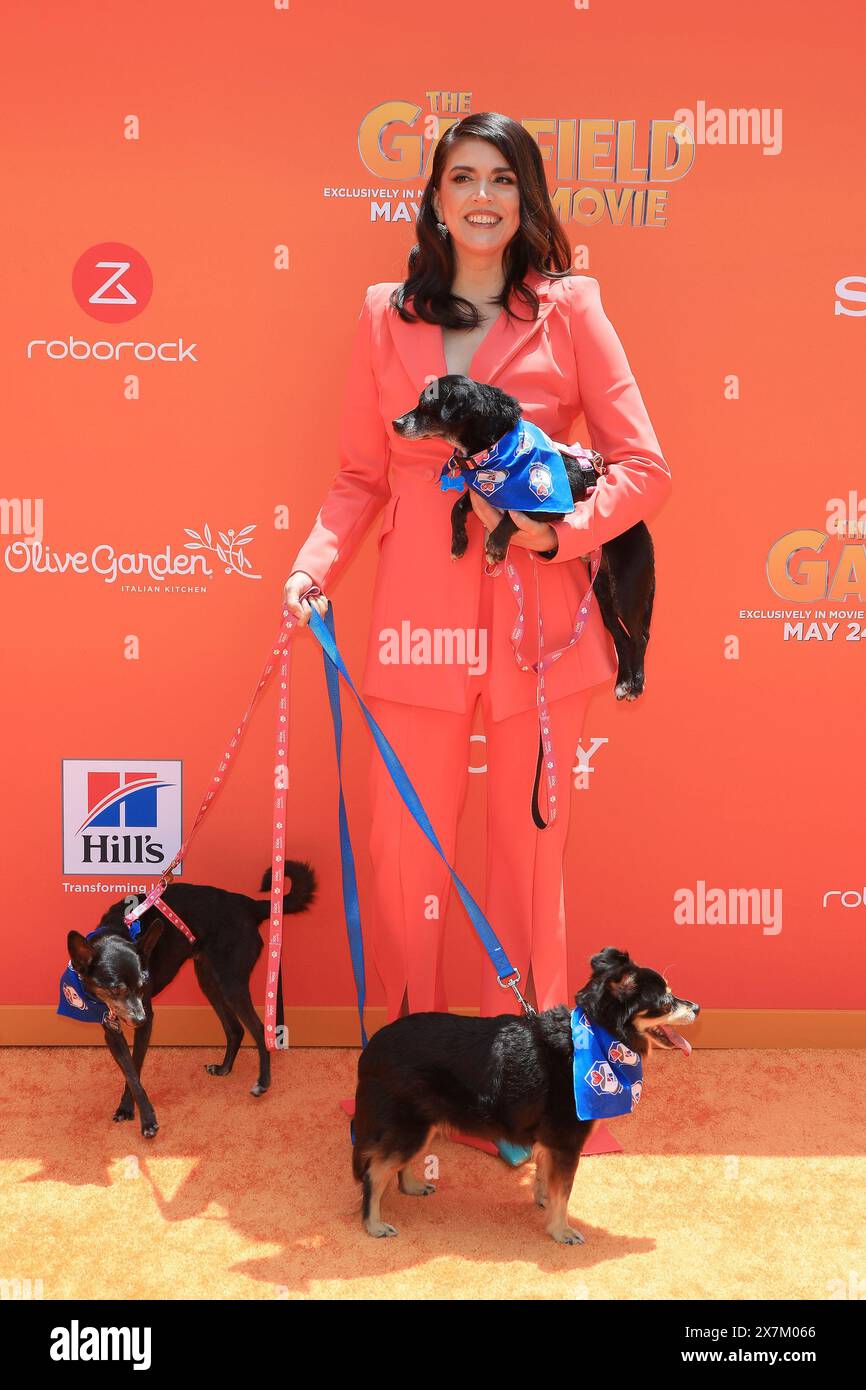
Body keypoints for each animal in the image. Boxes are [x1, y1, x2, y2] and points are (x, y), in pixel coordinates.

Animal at [65, 856, 315, 1139]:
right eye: (114, 989)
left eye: (143, 984)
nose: (139, 1018)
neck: (118, 931)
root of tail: (248, 904)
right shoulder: (111, 1030)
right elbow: (130, 1072)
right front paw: (129, 1109)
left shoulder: (146, 1021)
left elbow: (135, 1068)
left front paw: (144, 1118)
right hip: (208, 979)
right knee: (235, 1028)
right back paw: (224, 1068)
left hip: (231, 981)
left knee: (259, 1028)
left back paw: (263, 1082)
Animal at [353, 950, 697, 1245]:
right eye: (666, 1000)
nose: (696, 1008)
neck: (596, 1037)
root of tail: (371, 1052)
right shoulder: (566, 1143)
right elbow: (564, 1192)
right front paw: (560, 1230)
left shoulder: (550, 1142)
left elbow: (546, 1178)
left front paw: (544, 1202)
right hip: (410, 1127)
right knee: (374, 1171)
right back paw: (373, 1224)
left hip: (422, 1126)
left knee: (396, 1164)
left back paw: (410, 1186)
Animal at [394, 375, 656, 700]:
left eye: (426, 403)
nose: (395, 423)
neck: (496, 451)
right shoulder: (482, 495)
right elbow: (458, 506)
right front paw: (459, 542)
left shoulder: (554, 499)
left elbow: (513, 515)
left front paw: (495, 546)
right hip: (601, 594)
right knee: (621, 635)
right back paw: (623, 681)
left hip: (627, 588)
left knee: (639, 635)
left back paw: (636, 683)